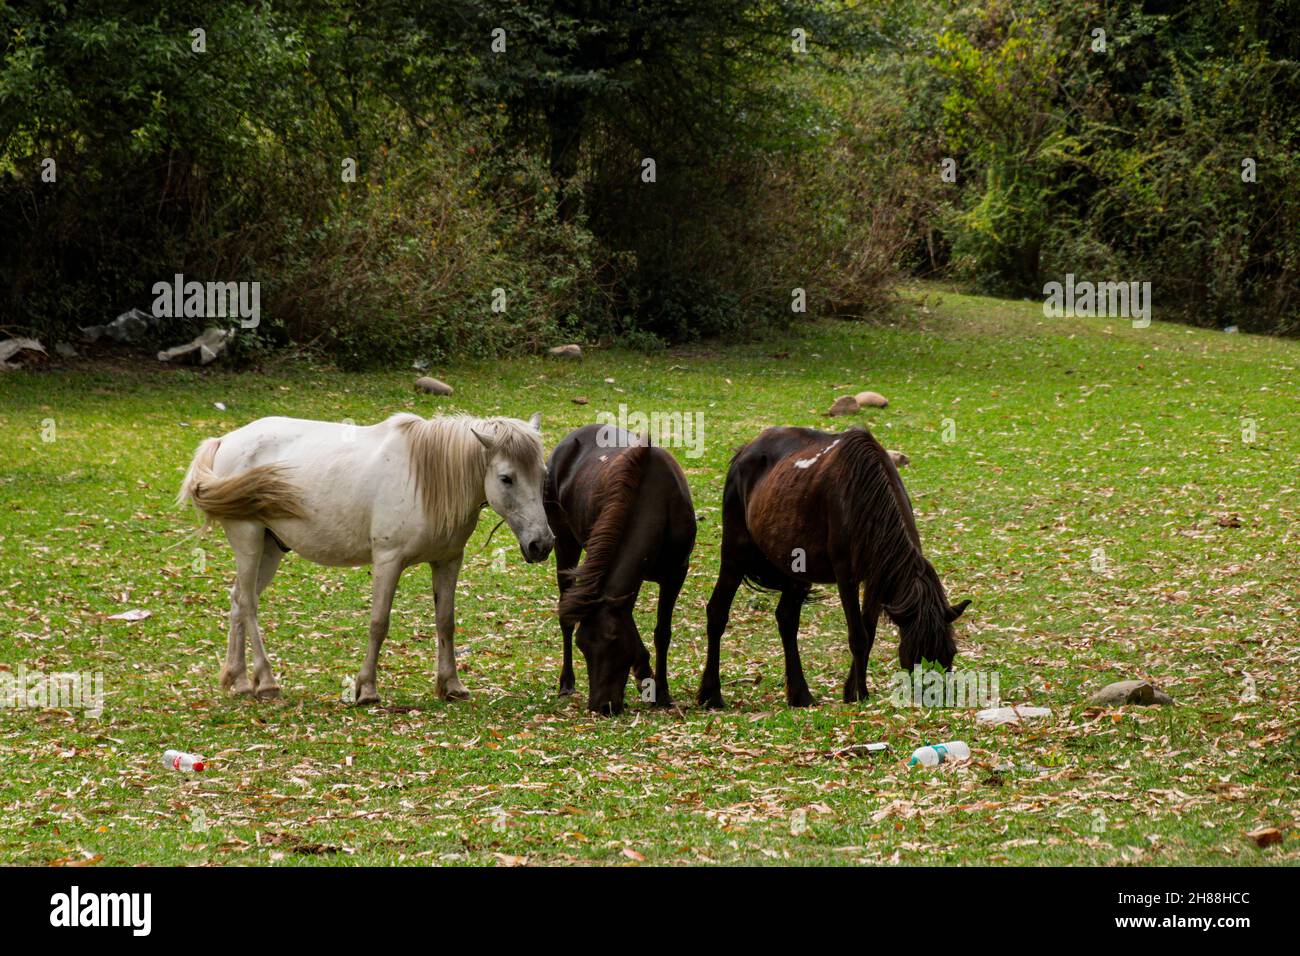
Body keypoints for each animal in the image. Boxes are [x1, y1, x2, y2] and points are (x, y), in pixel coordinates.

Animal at [177, 412, 554, 705]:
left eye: (543, 474)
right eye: (506, 478)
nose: (542, 544)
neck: (425, 478)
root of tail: (226, 440)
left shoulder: (448, 561)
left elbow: (445, 622)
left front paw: (451, 685)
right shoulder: (388, 561)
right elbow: (378, 623)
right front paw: (367, 689)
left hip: (270, 550)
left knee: (239, 600)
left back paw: (240, 681)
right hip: (249, 540)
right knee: (248, 605)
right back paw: (266, 681)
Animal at [544, 424, 696, 715]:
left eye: (613, 640)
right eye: (583, 646)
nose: (600, 706)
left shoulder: (676, 573)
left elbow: (662, 632)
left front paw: (661, 691)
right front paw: (646, 677)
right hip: (565, 543)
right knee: (565, 614)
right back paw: (566, 682)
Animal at [696, 425, 969, 709]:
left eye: (950, 654)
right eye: (916, 657)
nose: (936, 699)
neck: (865, 496)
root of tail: (744, 451)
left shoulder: (876, 578)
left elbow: (868, 631)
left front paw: (852, 690)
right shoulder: (845, 574)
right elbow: (858, 636)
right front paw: (860, 693)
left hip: (794, 566)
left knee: (786, 619)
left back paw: (800, 694)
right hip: (734, 554)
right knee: (717, 612)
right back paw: (711, 694)